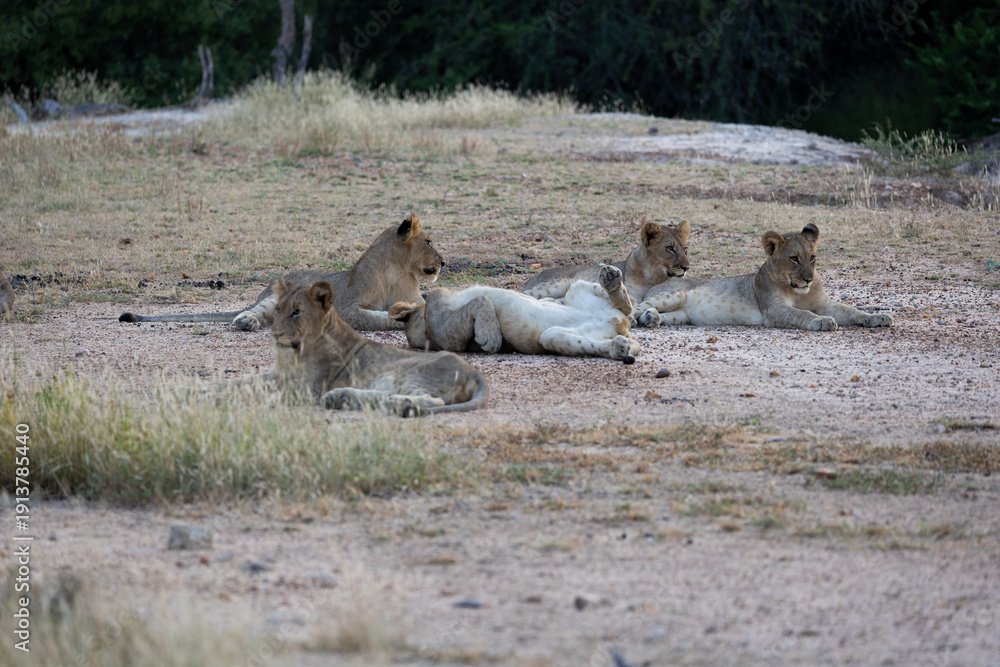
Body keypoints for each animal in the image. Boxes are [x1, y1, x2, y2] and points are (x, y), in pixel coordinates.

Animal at [119, 214, 442, 332]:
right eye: (429, 241)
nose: (443, 262)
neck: (397, 270)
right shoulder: (349, 308)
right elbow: (375, 317)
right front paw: (400, 317)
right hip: (275, 296)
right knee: (258, 313)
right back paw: (247, 321)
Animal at [245, 278, 488, 417]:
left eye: (296, 312)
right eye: (278, 309)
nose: (275, 334)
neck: (294, 352)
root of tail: (474, 372)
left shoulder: (306, 388)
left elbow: (256, 390)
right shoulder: (278, 376)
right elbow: (245, 382)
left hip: (407, 374)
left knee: (433, 400)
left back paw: (397, 404)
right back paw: (342, 397)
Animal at [388, 265, 641, 361]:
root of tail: (622, 328)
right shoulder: (449, 334)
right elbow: (481, 301)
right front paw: (491, 338)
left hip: (577, 289)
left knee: (625, 307)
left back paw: (612, 281)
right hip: (552, 337)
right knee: (587, 341)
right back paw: (617, 348)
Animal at [522, 220, 690, 304]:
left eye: (685, 249)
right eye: (670, 248)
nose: (686, 267)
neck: (655, 277)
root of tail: (533, 277)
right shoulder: (633, 294)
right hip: (554, 284)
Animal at [634, 224, 893, 331]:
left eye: (812, 258)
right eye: (794, 258)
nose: (808, 280)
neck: (798, 291)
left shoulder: (824, 303)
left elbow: (852, 310)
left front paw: (878, 318)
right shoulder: (774, 310)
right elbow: (801, 314)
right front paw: (822, 322)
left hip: (682, 315)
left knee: (660, 315)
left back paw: (651, 319)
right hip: (671, 295)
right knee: (638, 306)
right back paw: (639, 318)